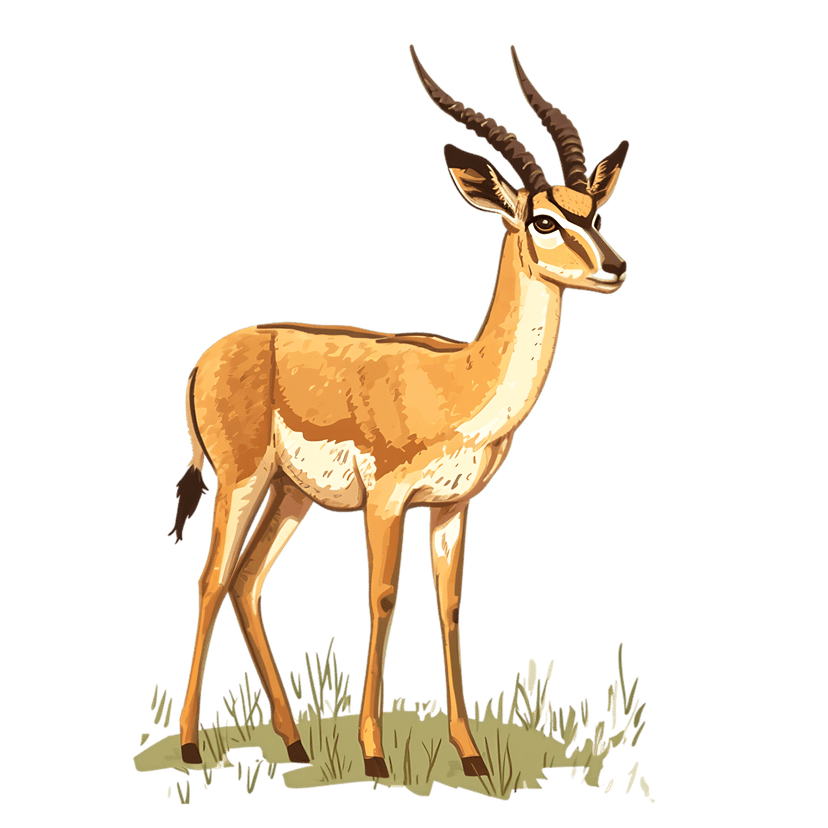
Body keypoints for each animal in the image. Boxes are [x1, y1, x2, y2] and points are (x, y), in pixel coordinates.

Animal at [168, 44, 630, 779]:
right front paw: (375, 756)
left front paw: (470, 757)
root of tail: (209, 357)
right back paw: (189, 744)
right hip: (241, 482)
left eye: (596, 212)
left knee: (246, 583)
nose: (615, 267)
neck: (459, 380)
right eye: (544, 219)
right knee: (212, 581)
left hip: (291, 494)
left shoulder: (451, 508)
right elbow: (383, 597)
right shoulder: (386, 500)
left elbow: (451, 607)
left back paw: (295, 745)